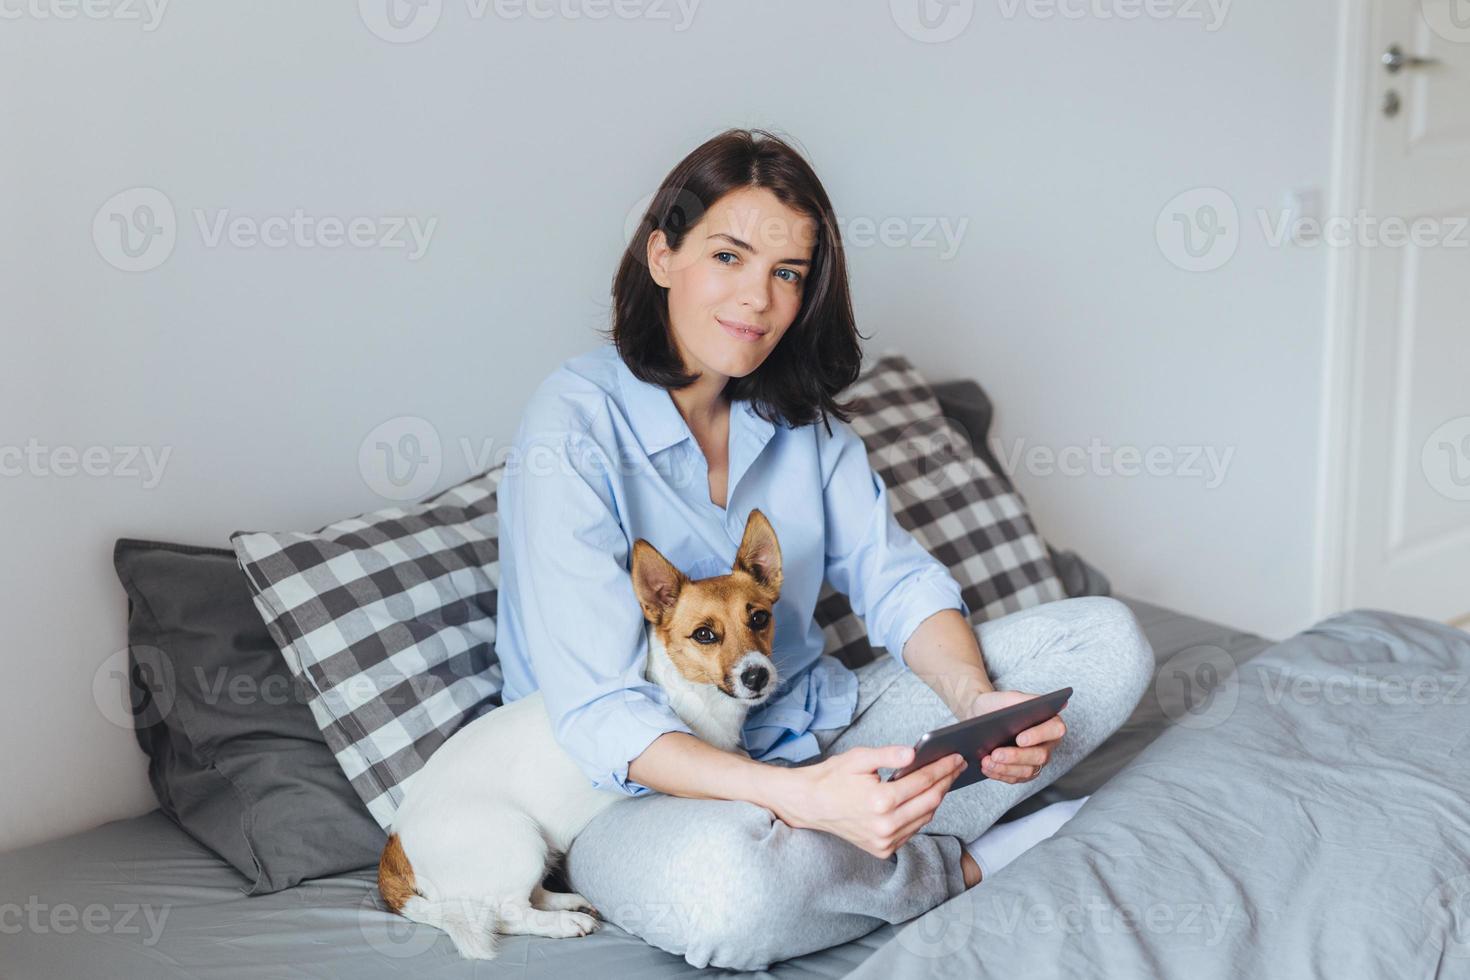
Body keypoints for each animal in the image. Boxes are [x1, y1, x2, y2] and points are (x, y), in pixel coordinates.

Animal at [379, 511, 787, 963]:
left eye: (759, 618)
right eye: (704, 635)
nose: (757, 676)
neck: (691, 691)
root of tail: (396, 845)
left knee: (527, 897)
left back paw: (567, 902)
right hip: (519, 839)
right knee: (508, 912)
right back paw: (562, 923)